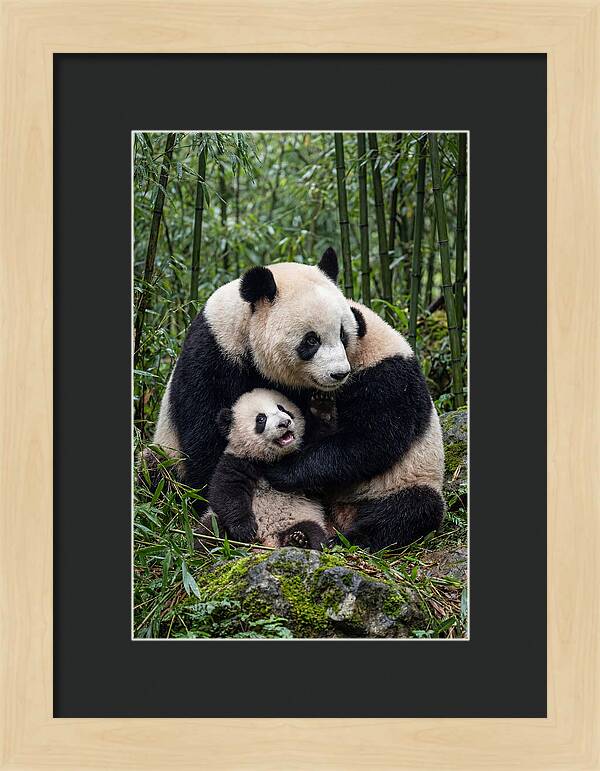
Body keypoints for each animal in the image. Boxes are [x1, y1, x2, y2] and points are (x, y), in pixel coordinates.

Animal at [198, 388, 331, 550]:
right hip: (214, 520)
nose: (284, 423)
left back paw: (298, 540)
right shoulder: (238, 460)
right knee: (209, 531)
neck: (270, 458)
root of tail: (268, 540)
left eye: (282, 408)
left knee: (314, 532)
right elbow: (226, 491)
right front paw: (245, 530)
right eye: (261, 419)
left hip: (301, 517)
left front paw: (321, 407)